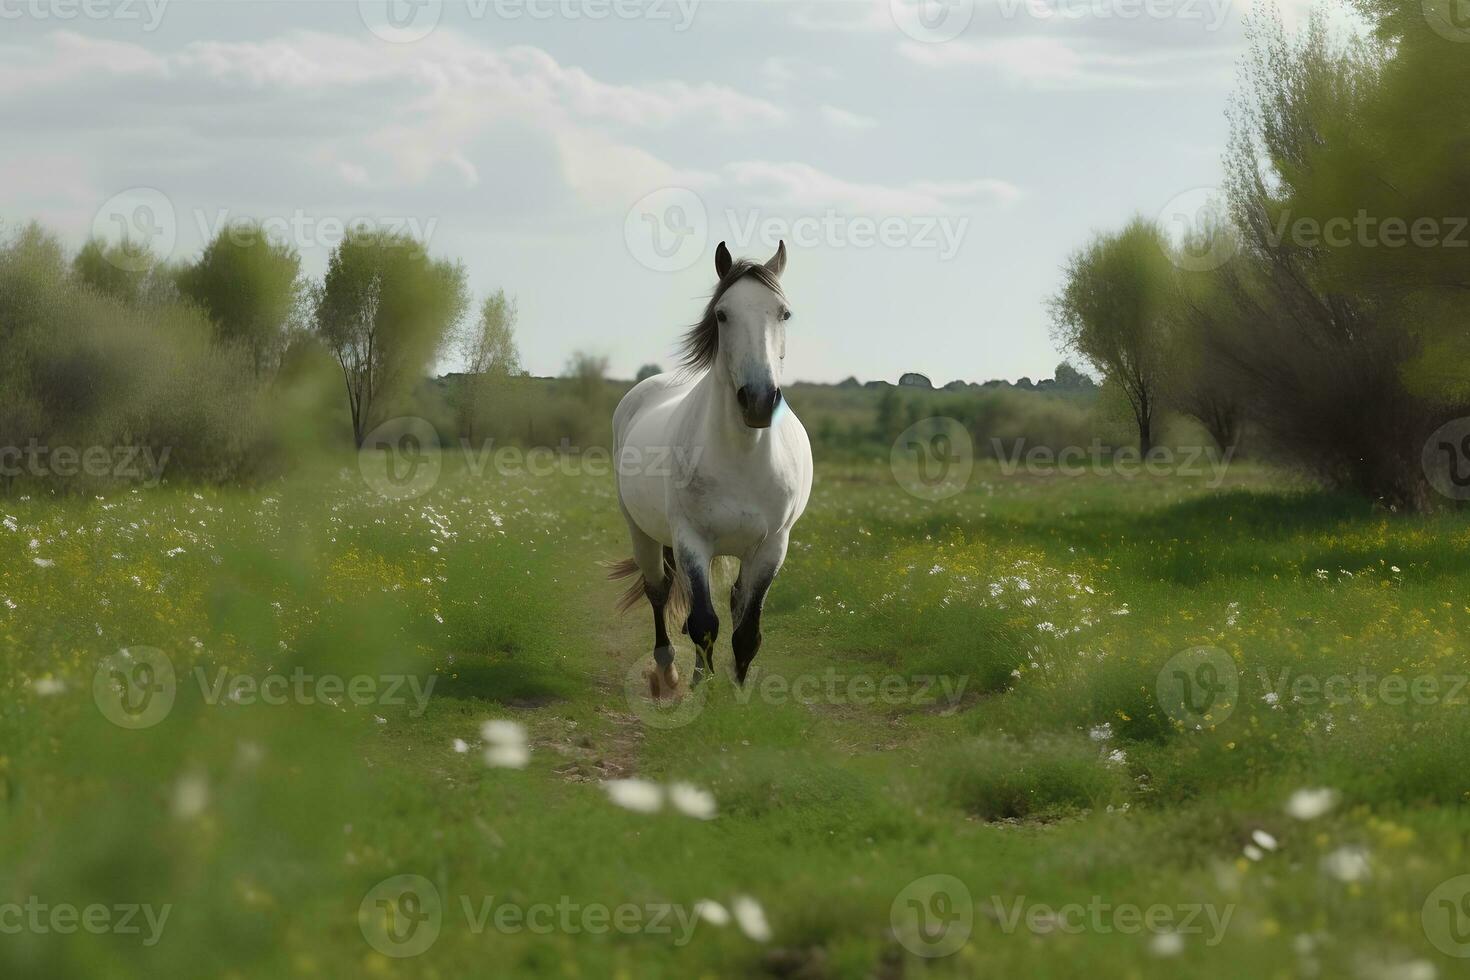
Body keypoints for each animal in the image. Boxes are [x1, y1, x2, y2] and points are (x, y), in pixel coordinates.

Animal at [611, 240, 817, 693]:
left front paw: (737, 694)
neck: (744, 455)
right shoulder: (691, 540)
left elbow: (746, 632)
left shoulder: (772, 547)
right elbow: (704, 623)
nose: (758, 400)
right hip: (642, 533)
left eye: (783, 313)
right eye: (722, 314)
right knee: (659, 591)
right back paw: (668, 673)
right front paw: (701, 692)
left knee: (730, 602)